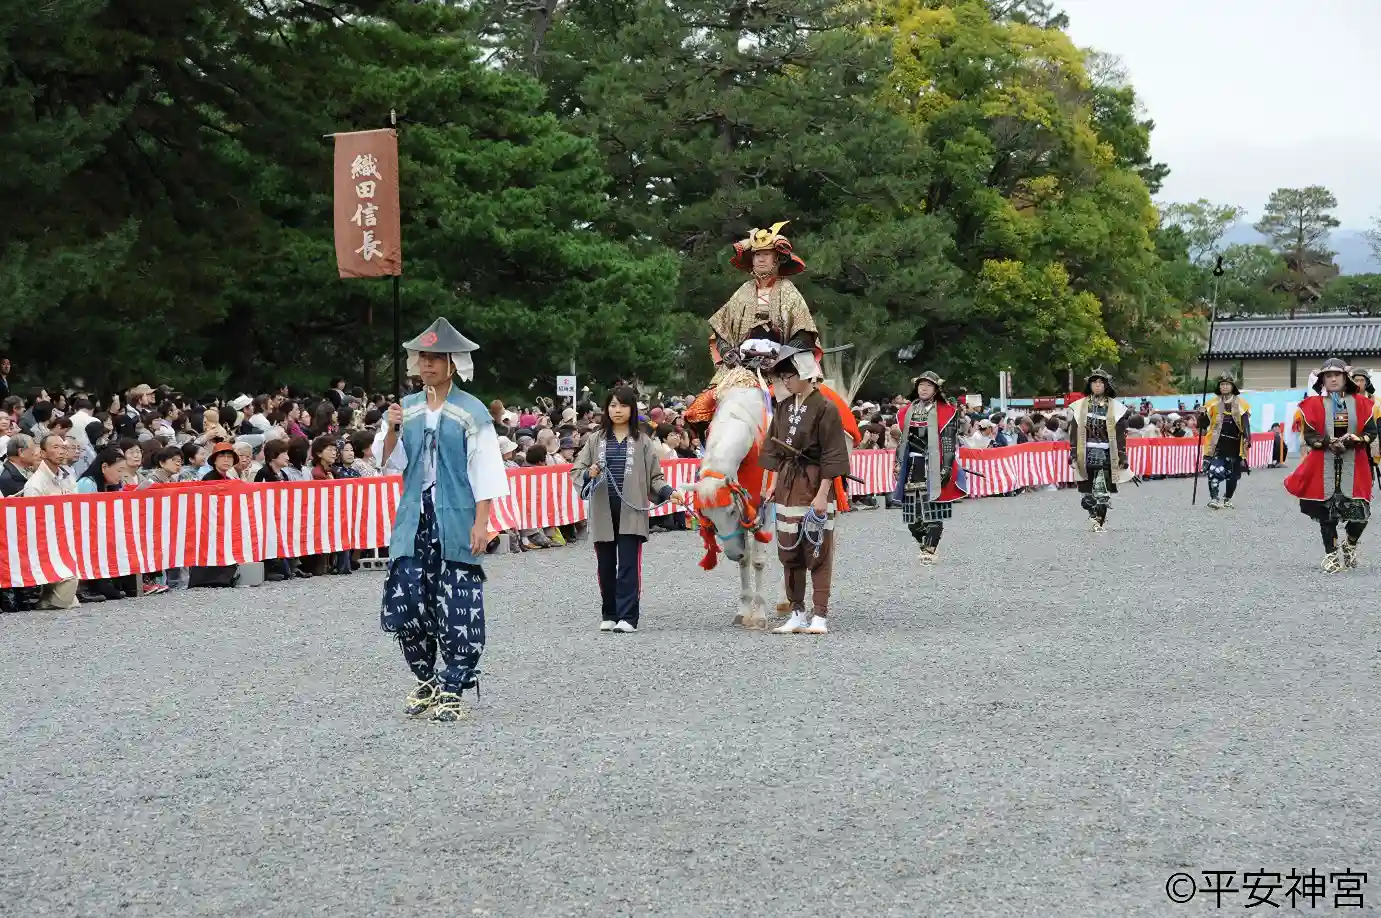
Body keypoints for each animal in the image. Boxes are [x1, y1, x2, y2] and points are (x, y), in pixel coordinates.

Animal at [690, 378, 778, 629]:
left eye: (731, 511)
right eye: (708, 517)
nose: (732, 554)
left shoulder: (764, 506)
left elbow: (758, 561)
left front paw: (760, 614)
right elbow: (746, 559)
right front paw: (744, 610)